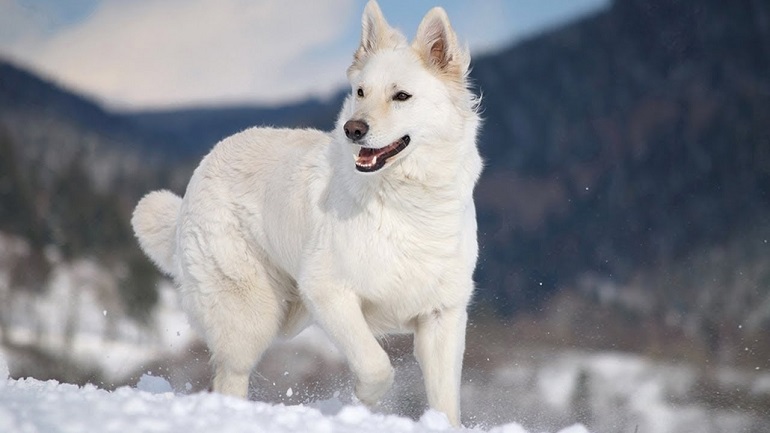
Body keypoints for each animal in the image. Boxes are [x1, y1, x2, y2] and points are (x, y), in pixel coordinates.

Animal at [132, 0, 480, 426]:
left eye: (401, 96)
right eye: (360, 92)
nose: (353, 129)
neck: (405, 201)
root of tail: (203, 167)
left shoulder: (442, 316)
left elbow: (445, 400)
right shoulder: (329, 291)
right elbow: (376, 365)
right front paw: (362, 399)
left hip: (287, 314)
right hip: (251, 316)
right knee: (230, 375)